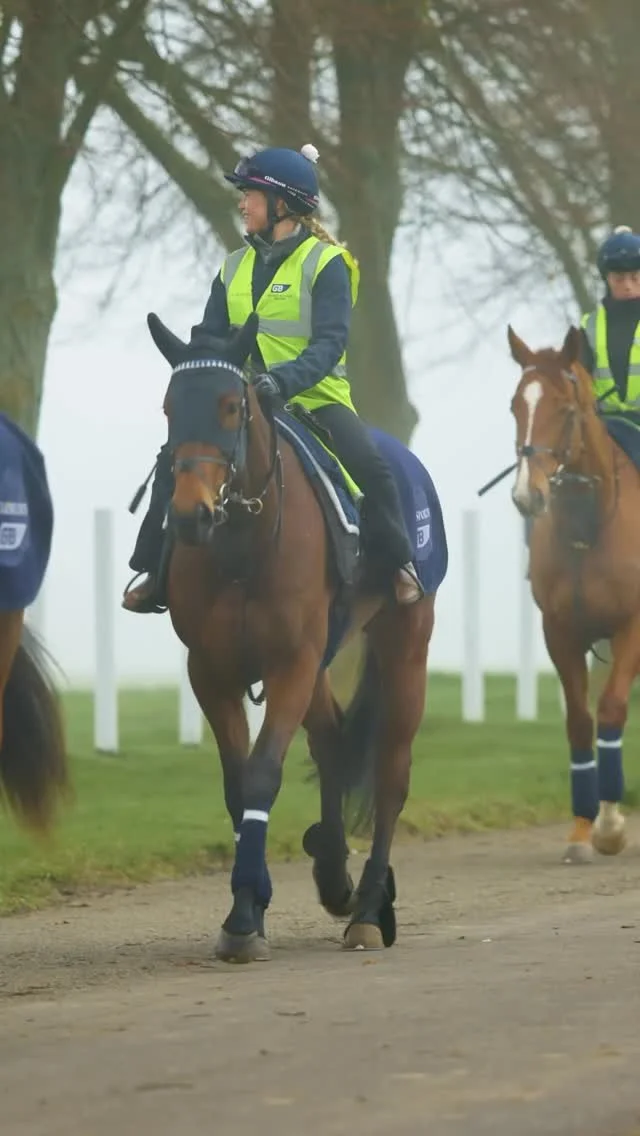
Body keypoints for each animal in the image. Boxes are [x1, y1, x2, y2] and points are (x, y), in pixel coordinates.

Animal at [141, 310, 447, 961]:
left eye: (232, 405)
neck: (242, 547)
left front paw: (242, 919)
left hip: (404, 648)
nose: (190, 515)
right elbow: (238, 787)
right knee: (331, 742)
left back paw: (366, 910)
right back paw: (335, 874)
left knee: (391, 776)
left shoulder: (291, 664)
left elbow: (262, 774)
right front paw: (250, 904)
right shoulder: (211, 671)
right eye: (169, 408)